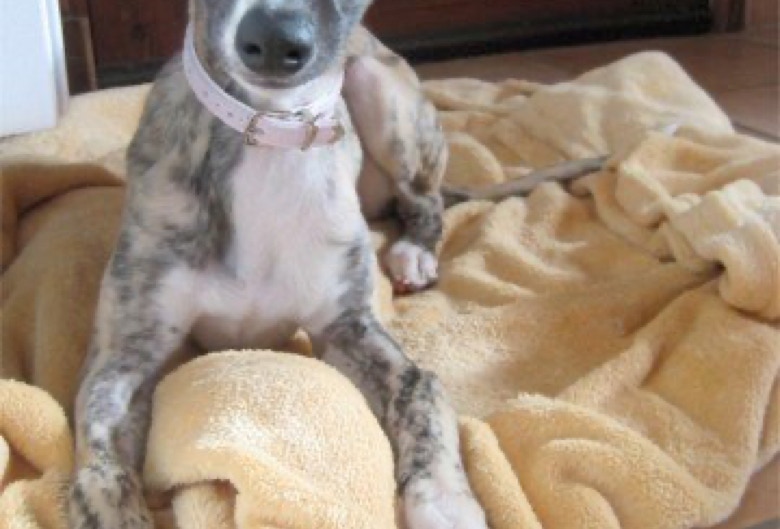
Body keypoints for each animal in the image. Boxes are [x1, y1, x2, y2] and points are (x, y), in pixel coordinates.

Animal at [68, 1, 489, 528]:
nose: (273, 41)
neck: (271, 130)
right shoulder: (123, 356)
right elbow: (100, 465)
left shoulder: (345, 329)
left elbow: (421, 387)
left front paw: (446, 499)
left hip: (377, 89)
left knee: (426, 199)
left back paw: (414, 251)